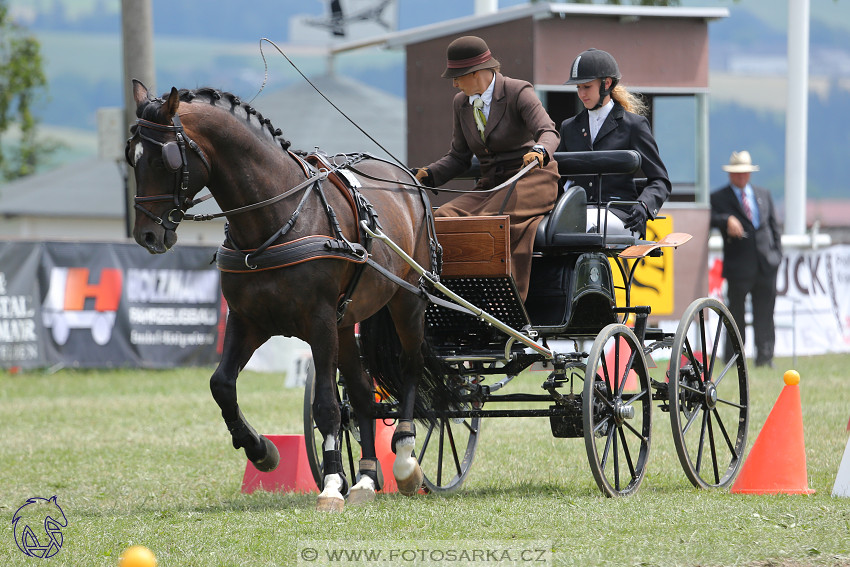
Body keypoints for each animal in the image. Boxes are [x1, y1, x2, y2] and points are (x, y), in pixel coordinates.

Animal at [128, 81, 440, 516]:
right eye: (132, 156)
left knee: (410, 367)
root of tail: (409, 178)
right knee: (363, 392)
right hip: (346, 323)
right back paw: (364, 479)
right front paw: (261, 450)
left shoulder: (319, 321)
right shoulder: (247, 320)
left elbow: (325, 405)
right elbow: (221, 384)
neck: (275, 218)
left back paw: (407, 460)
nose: (147, 235)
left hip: (406, 300)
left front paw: (330, 484)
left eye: (167, 160)